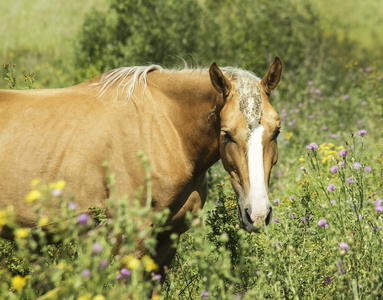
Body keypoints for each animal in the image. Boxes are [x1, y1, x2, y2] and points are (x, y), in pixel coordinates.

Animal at [0, 56, 282, 276]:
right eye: (226, 134)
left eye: (277, 131)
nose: (257, 214)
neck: (167, 130)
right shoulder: (129, 237)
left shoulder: (168, 238)